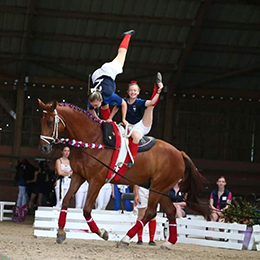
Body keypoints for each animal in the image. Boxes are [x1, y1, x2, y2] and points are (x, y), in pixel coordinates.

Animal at [38, 98, 208, 249]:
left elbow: (86, 210)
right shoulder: (78, 176)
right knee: (171, 211)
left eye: (50, 122)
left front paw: (103, 233)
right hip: (161, 189)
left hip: (158, 187)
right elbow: (66, 201)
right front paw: (60, 233)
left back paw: (125, 239)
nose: (44, 148)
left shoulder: (96, 181)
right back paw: (169, 243)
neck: (92, 139)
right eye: (42, 121)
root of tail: (179, 153)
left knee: (150, 212)